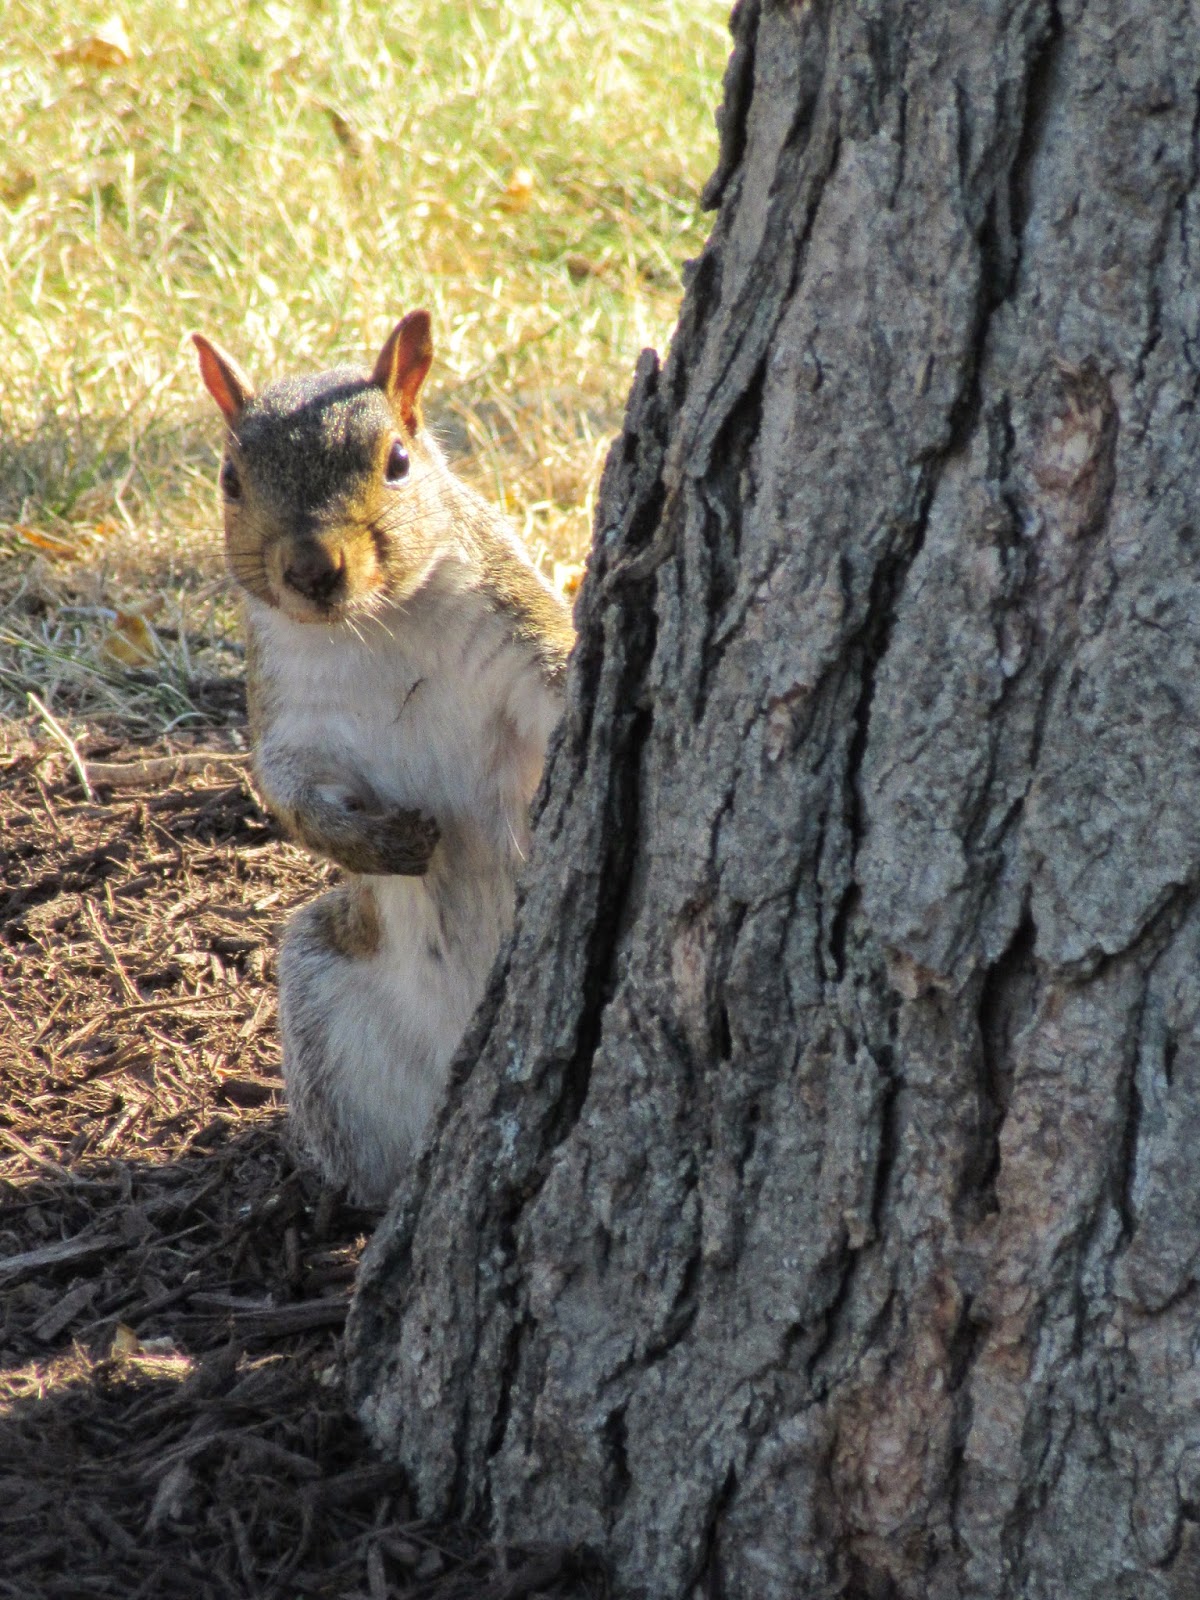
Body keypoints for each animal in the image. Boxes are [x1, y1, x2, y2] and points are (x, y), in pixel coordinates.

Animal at [193, 312, 574, 1206]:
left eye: (398, 462)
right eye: (229, 479)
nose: (309, 569)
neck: (377, 625)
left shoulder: (518, 631)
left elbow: (560, 685)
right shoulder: (289, 716)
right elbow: (288, 795)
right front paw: (382, 842)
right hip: (327, 1003)